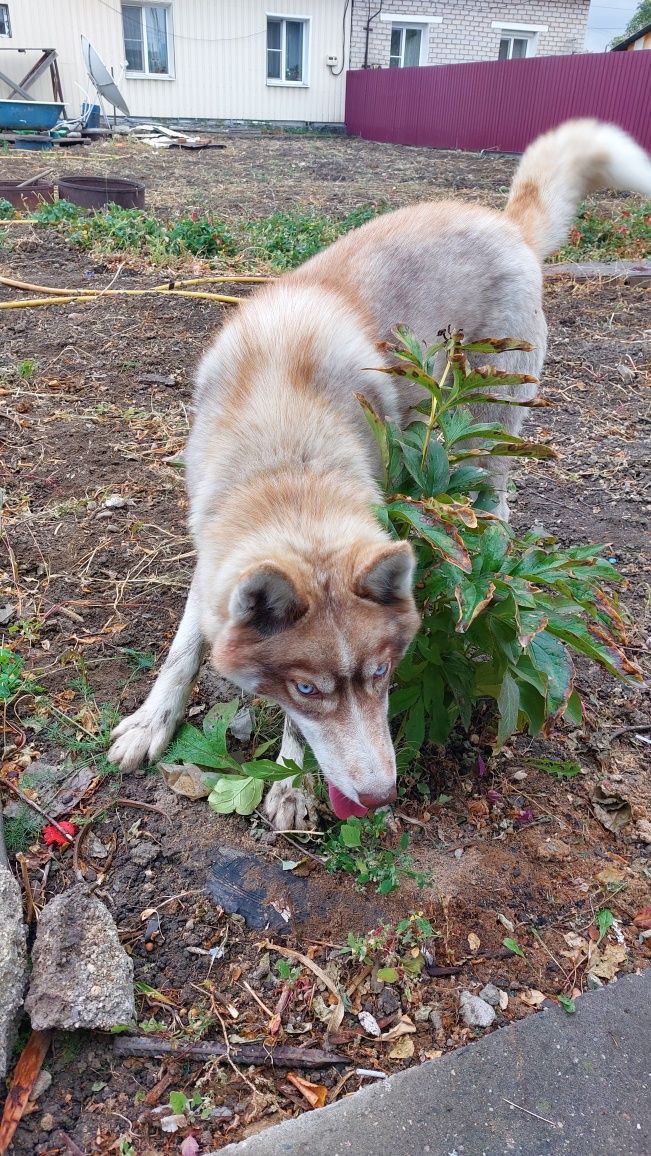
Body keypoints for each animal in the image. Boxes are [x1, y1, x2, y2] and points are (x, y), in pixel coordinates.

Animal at [108, 119, 651, 832]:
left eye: (383, 675)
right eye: (306, 687)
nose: (378, 796)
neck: (286, 450)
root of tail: (503, 220)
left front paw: (291, 780)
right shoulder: (213, 544)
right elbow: (183, 649)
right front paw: (152, 723)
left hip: (489, 430)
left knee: (497, 504)